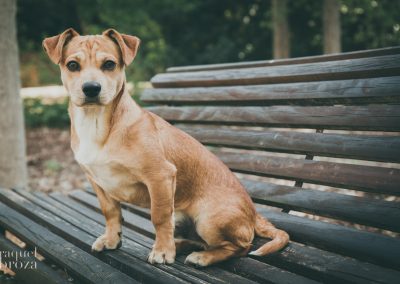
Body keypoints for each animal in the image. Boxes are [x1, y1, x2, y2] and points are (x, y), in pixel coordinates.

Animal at [42, 28, 290, 266]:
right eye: (73, 65)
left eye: (109, 64)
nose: (91, 88)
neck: (96, 124)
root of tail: (254, 214)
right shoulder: (98, 182)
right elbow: (111, 213)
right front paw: (112, 239)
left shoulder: (160, 176)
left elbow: (159, 217)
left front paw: (162, 252)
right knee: (200, 240)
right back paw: (180, 245)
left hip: (209, 220)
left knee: (240, 247)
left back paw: (202, 257)